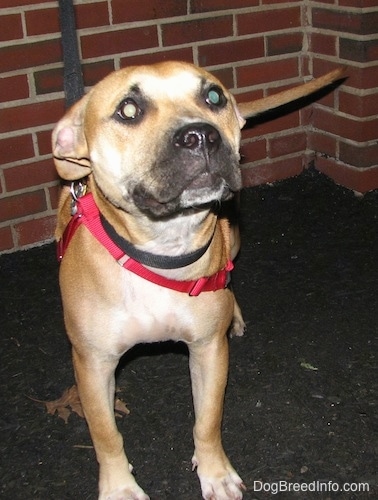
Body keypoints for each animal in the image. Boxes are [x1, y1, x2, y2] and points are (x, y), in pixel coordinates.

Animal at [53, 60, 346, 498]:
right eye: (128, 110)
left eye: (213, 97)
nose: (201, 135)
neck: (162, 252)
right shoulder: (92, 364)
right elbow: (106, 435)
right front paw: (120, 487)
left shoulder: (209, 349)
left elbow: (207, 420)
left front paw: (215, 472)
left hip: (234, 235)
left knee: (231, 274)